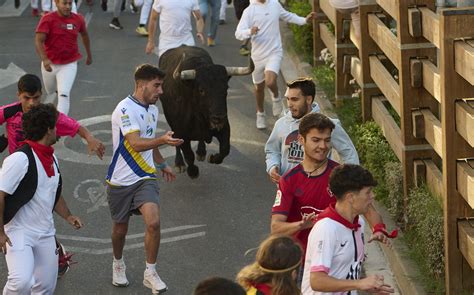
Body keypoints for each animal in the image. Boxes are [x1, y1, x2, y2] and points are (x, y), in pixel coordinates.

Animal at [158, 45, 256, 179]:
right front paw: (193, 171)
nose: (218, 118)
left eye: (226, 88)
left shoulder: (225, 128)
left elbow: (225, 149)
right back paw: (179, 164)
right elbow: (188, 155)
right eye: (201, 90)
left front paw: (212, 158)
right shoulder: (181, 133)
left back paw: (201, 152)